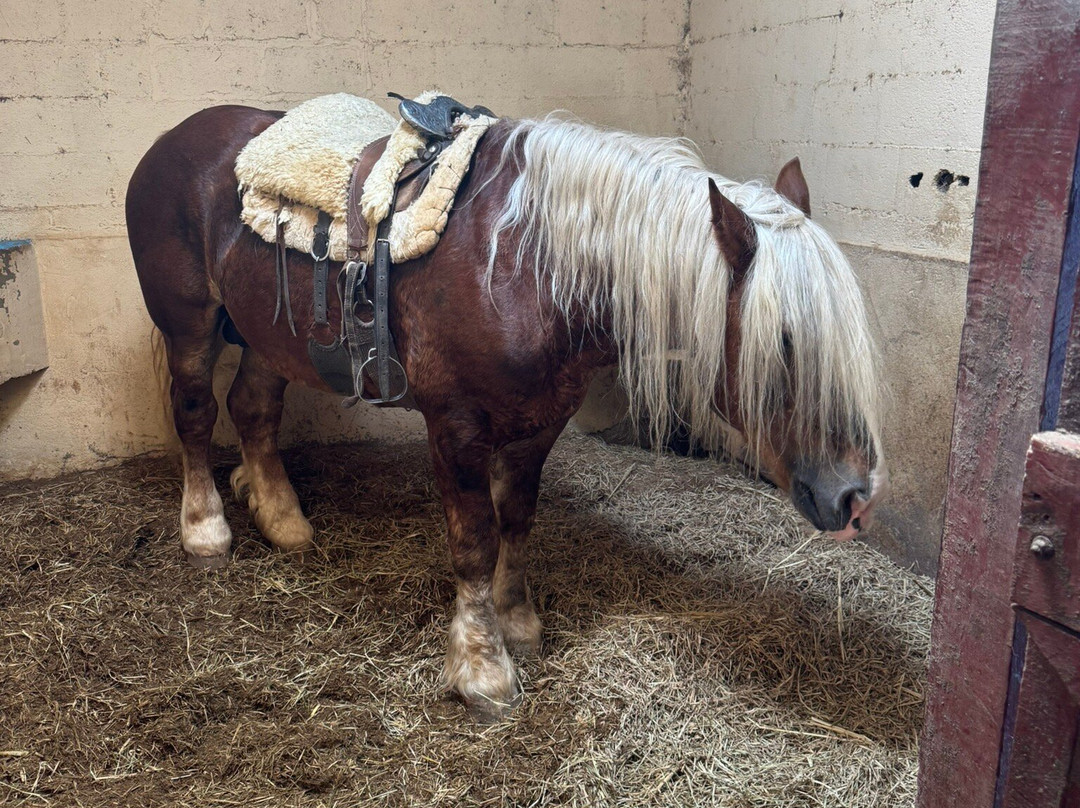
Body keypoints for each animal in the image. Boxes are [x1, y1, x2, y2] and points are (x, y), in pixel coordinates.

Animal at [125, 105, 887, 720]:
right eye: (784, 341)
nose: (853, 498)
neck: (527, 265)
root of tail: (171, 140)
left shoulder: (539, 422)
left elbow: (515, 518)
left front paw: (516, 621)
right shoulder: (456, 426)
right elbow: (474, 539)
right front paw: (482, 667)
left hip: (269, 332)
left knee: (253, 409)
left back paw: (282, 517)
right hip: (191, 326)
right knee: (196, 416)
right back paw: (206, 529)